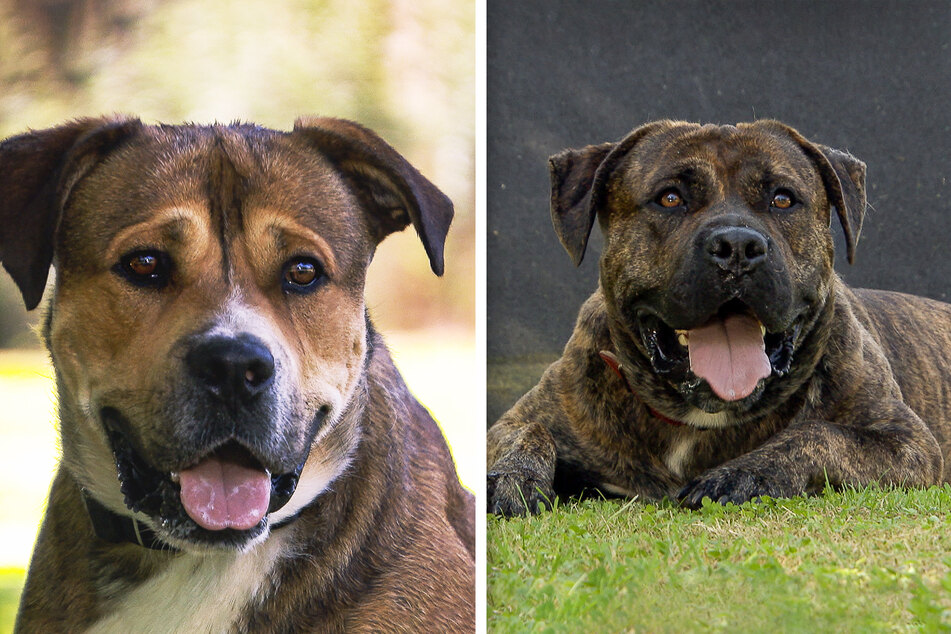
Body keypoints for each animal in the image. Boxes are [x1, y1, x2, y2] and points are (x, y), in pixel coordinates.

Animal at [488, 117, 951, 512]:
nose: (737, 246)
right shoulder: (528, 415)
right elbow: (526, 432)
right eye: (670, 197)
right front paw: (512, 478)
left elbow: (818, 433)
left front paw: (743, 473)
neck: (695, 418)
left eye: (783, 199)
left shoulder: (908, 444)